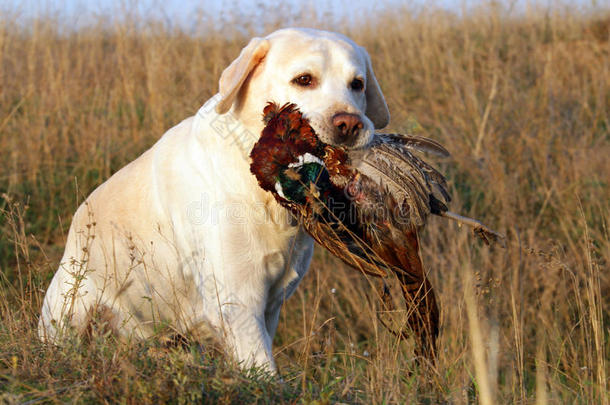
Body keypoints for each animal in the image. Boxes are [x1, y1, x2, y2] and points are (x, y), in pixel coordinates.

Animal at [40, 26, 388, 370]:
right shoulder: (237, 301)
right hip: (67, 317)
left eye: (357, 84)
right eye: (304, 79)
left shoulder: (270, 305)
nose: (350, 124)